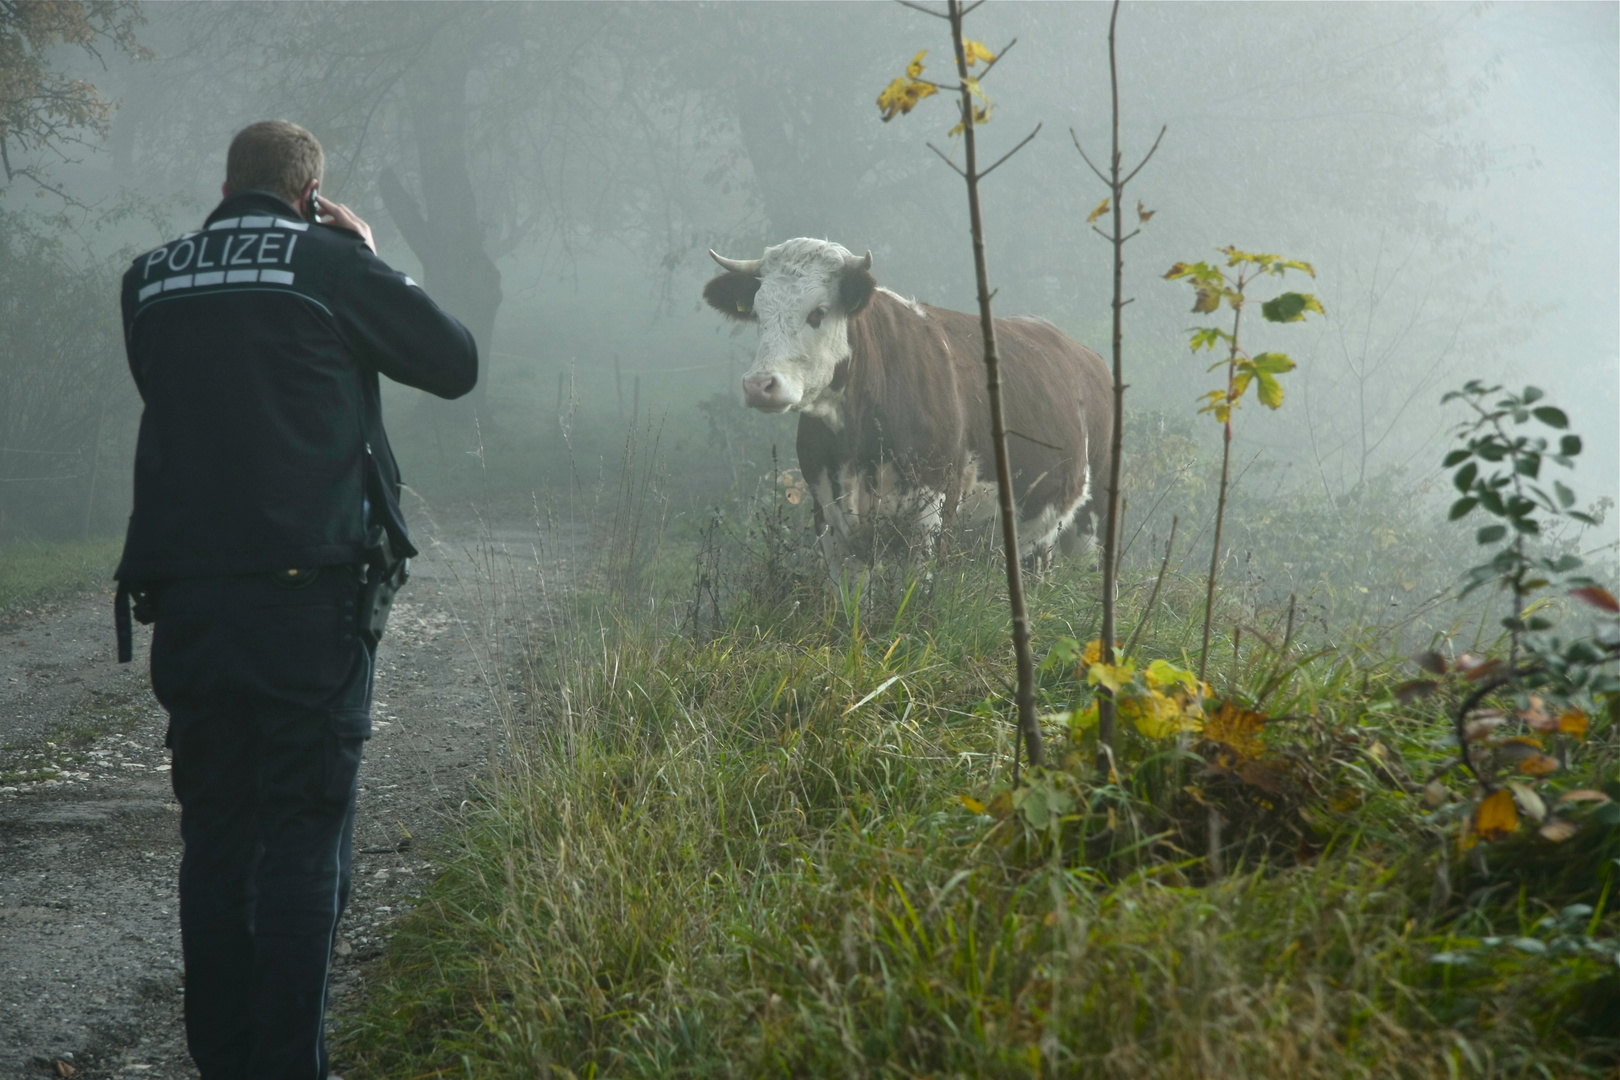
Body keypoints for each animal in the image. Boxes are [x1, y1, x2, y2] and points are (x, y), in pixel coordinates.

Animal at [709, 238, 1114, 566]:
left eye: (818, 312)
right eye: (758, 314)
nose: (759, 385)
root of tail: (1087, 356)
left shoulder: (930, 517)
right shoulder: (830, 522)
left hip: (1093, 518)